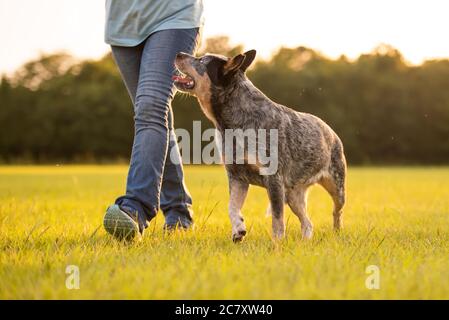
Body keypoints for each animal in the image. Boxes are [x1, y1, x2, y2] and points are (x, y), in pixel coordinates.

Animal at [172, 48, 346, 241]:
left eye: (202, 61)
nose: (179, 53)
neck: (230, 124)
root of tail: (330, 130)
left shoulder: (274, 179)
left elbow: (277, 219)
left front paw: (277, 244)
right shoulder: (237, 177)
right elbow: (232, 207)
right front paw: (238, 230)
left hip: (336, 187)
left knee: (337, 212)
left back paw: (337, 232)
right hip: (293, 194)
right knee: (307, 222)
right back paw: (305, 242)